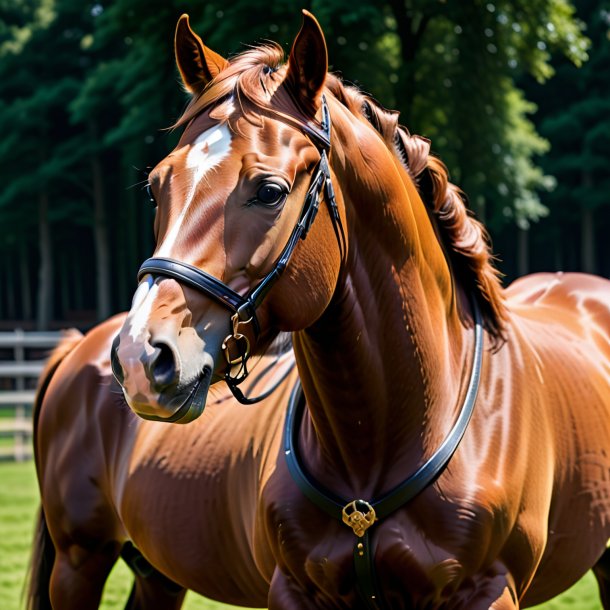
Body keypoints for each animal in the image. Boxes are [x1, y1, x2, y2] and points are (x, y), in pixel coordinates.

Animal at [30, 9, 608, 608]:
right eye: (155, 187)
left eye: (269, 191)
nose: (141, 358)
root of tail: (79, 346)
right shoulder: (292, 589)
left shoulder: (489, 590)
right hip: (80, 561)